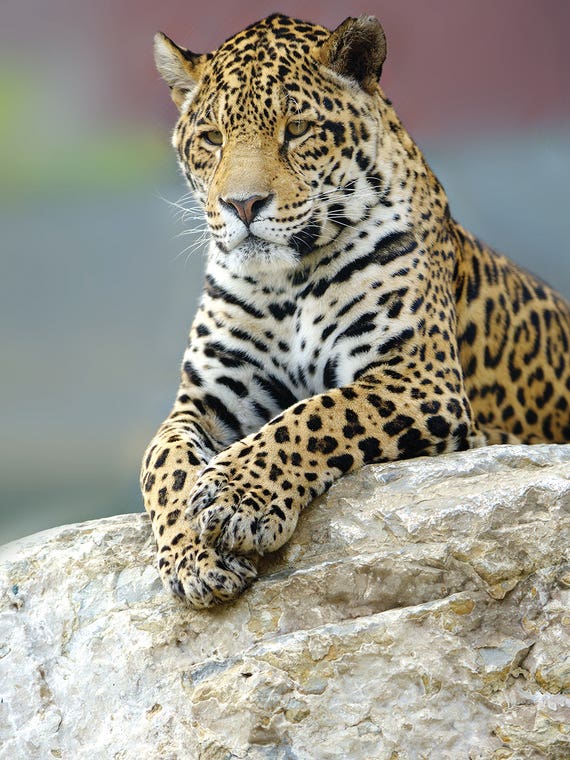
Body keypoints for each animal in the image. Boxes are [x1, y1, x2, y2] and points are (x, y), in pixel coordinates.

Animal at [141, 13, 570, 608]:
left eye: (298, 129)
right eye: (212, 138)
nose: (242, 205)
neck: (286, 283)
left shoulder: (418, 377)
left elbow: (314, 416)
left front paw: (234, 498)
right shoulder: (207, 400)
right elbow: (164, 460)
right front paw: (193, 555)